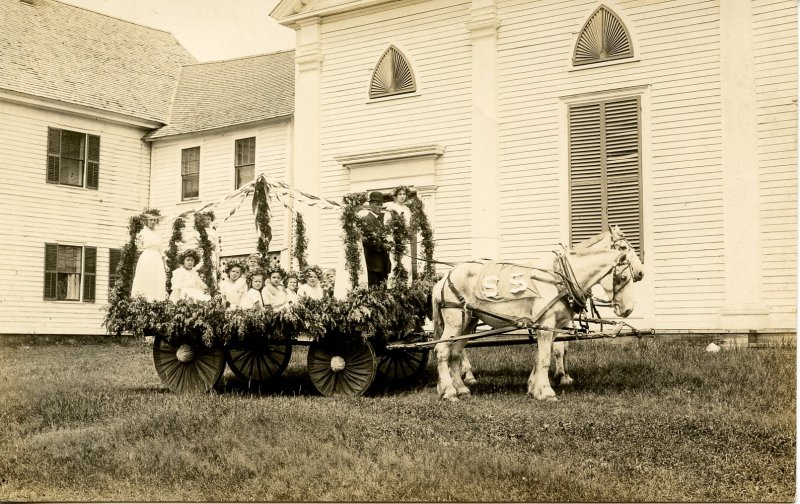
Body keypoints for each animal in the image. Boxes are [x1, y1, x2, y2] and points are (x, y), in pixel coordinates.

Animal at [432, 226, 644, 400]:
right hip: (455, 320)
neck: (561, 278)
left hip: (469, 321)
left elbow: (546, 354)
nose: (628, 309)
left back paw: (461, 389)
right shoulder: (546, 324)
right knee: (442, 350)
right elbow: (545, 358)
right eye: (623, 277)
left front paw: (535, 387)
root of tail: (444, 278)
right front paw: (547, 391)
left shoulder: (553, 326)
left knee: (455, 353)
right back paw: (449, 391)